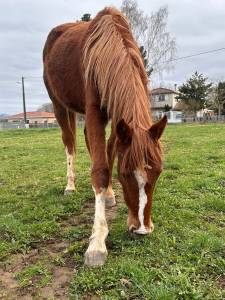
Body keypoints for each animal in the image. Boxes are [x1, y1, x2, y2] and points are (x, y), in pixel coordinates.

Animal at [43, 6, 166, 268]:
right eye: (125, 174)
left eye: (159, 172)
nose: (141, 229)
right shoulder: (94, 109)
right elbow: (100, 169)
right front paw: (97, 242)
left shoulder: (117, 117)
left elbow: (109, 152)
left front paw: (109, 193)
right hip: (59, 104)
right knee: (70, 142)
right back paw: (70, 185)